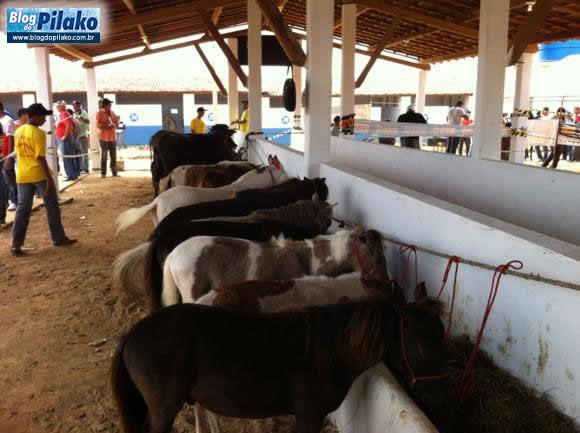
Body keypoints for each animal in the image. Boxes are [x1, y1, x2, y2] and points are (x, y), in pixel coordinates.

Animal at [111, 299, 452, 433]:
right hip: (163, 409)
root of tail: (133, 334)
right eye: (425, 345)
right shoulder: (309, 416)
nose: (439, 397)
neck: (329, 353)